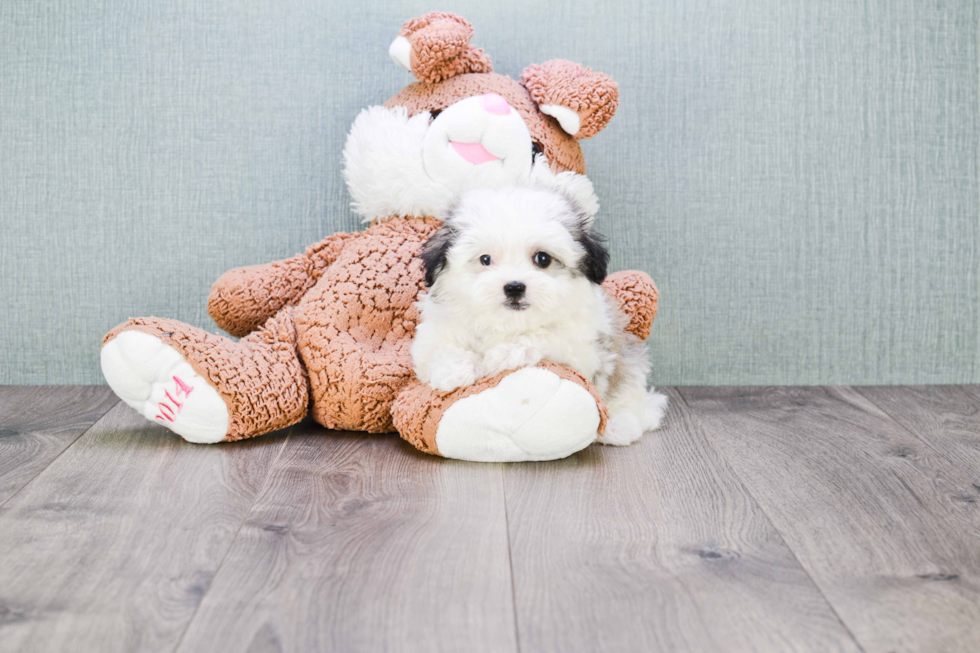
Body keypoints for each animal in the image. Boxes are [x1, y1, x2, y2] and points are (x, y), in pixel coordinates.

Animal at [414, 186, 668, 446]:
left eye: (543, 259)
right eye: (485, 259)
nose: (514, 287)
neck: (509, 324)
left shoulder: (583, 349)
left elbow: (546, 337)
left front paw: (505, 353)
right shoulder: (434, 333)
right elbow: (440, 349)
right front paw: (453, 370)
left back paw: (619, 426)